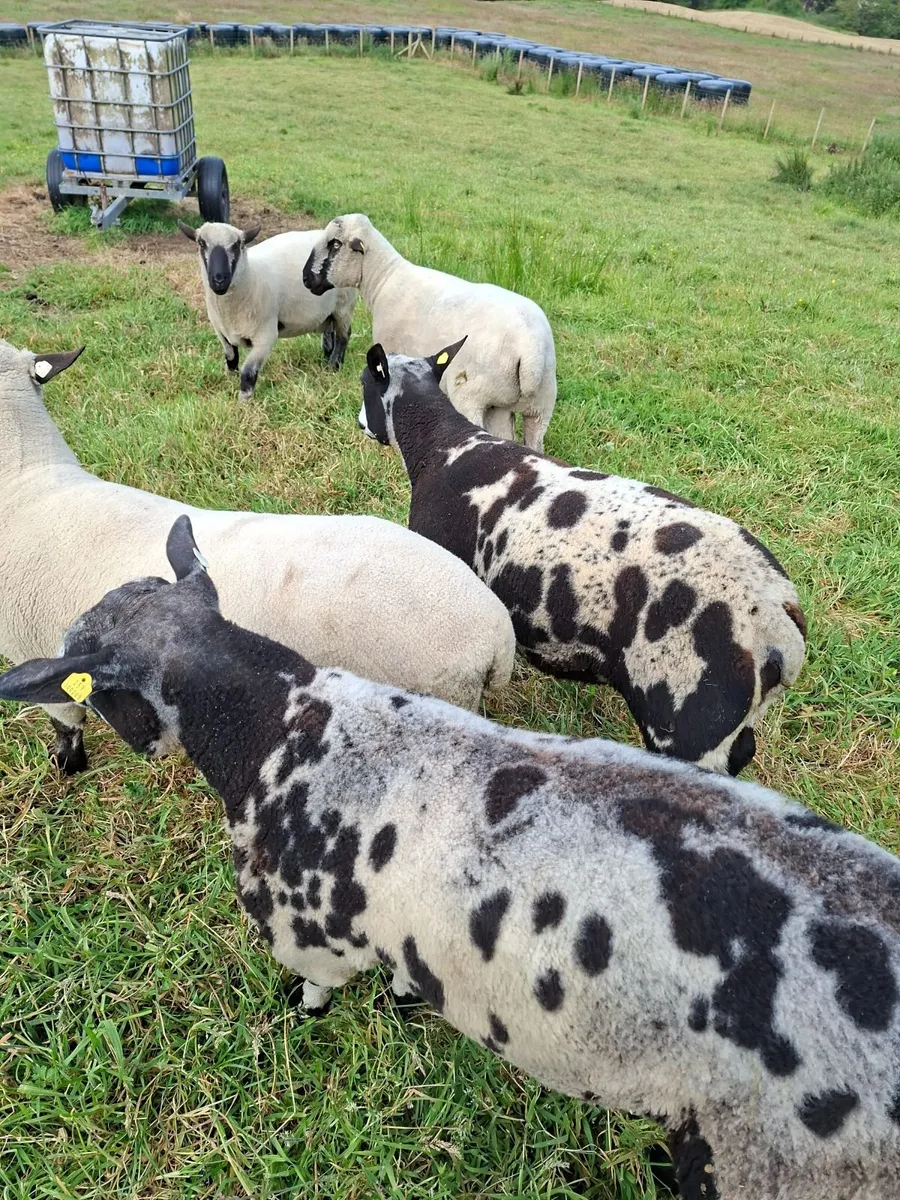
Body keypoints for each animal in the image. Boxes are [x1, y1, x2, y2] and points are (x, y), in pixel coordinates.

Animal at [1, 514, 897, 1200]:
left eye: (88, 680)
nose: (86, 747)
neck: (277, 724)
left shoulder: (308, 931)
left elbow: (313, 992)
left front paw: (297, 1019)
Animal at [177, 221, 358, 401]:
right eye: (201, 243)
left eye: (237, 245)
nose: (219, 279)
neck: (251, 278)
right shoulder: (222, 333)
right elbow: (231, 359)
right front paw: (230, 380)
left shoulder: (265, 336)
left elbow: (248, 372)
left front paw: (244, 402)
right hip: (328, 311)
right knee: (330, 333)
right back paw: (330, 361)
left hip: (344, 305)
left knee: (343, 336)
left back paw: (333, 367)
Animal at [301, 213, 557, 451]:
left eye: (335, 244)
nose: (305, 278)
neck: (383, 278)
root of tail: (531, 351)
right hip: (535, 407)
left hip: (472, 396)